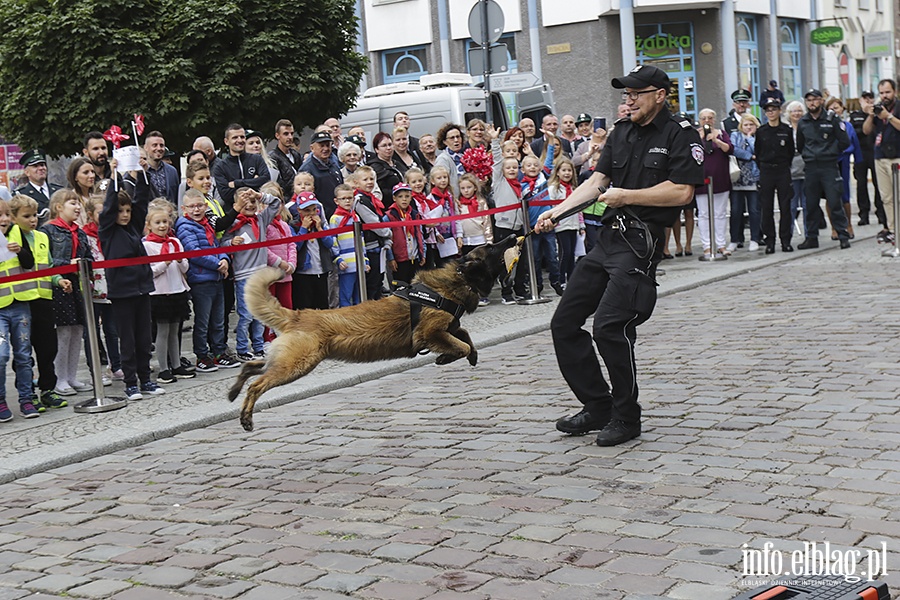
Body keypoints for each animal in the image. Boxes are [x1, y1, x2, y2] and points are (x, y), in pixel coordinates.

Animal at [229, 234, 516, 432]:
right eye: (491, 247)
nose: (514, 236)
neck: (457, 279)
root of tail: (298, 314)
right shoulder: (430, 332)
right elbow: (461, 343)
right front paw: (446, 357)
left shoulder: (448, 328)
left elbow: (465, 335)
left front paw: (468, 355)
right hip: (298, 364)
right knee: (257, 384)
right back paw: (245, 416)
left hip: (290, 360)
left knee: (254, 367)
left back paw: (233, 391)